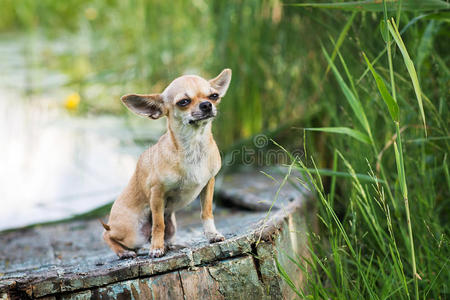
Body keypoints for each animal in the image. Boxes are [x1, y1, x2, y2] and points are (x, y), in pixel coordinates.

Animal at [102, 68, 232, 258]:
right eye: (183, 102)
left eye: (214, 96)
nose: (207, 105)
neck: (194, 147)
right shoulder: (157, 193)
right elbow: (158, 224)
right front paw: (156, 248)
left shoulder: (209, 183)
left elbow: (206, 212)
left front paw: (212, 235)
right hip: (133, 233)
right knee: (107, 235)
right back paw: (124, 252)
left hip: (172, 226)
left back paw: (170, 245)